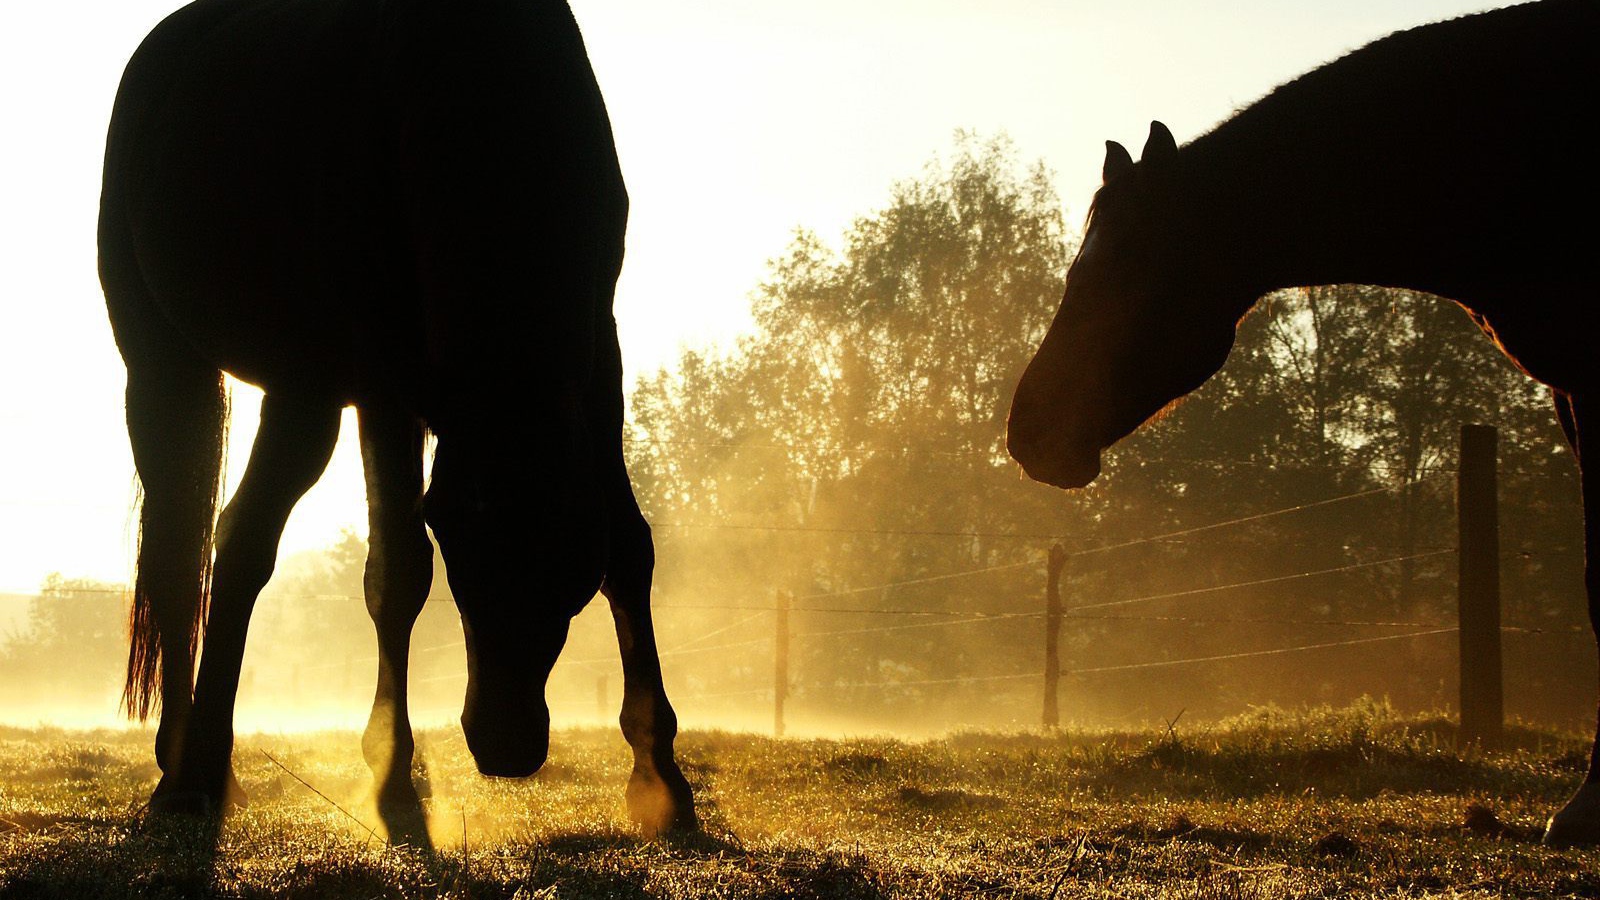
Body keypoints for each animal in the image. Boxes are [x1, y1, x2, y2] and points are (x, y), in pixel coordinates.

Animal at [99, 0, 696, 838]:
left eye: (565, 558)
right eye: (453, 530)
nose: (506, 744)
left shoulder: (594, 360)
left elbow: (631, 551)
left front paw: (659, 777)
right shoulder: (384, 383)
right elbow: (399, 570)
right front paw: (391, 777)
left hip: (299, 390)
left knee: (231, 535)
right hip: (177, 365)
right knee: (192, 553)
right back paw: (186, 774)